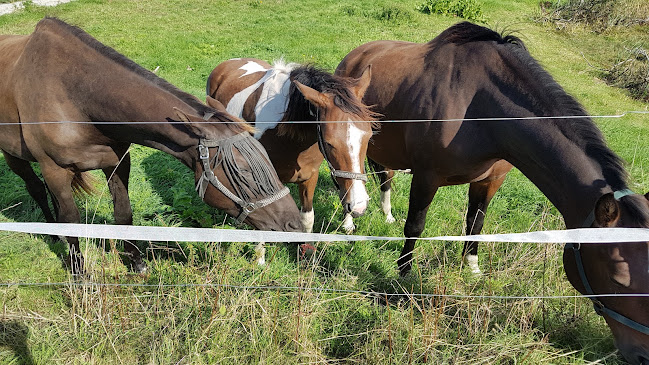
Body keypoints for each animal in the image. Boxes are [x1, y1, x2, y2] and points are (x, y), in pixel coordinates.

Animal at [0, 17, 304, 272]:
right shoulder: (54, 169)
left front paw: (136, 263)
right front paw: (78, 274)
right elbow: (71, 221)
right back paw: (53, 234)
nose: (295, 224)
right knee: (37, 189)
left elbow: (124, 214)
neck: (79, 98)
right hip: (14, 157)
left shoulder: (117, 162)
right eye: (242, 171)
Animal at [336, 22, 648, 362]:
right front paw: (404, 274)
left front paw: (472, 269)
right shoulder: (427, 176)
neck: (481, 110)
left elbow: (476, 224)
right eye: (618, 277)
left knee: (384, 176)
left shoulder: (490, 181)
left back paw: (386, 213)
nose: (642, 354)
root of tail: (357, 54)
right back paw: (349, 222)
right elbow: (415, 226)